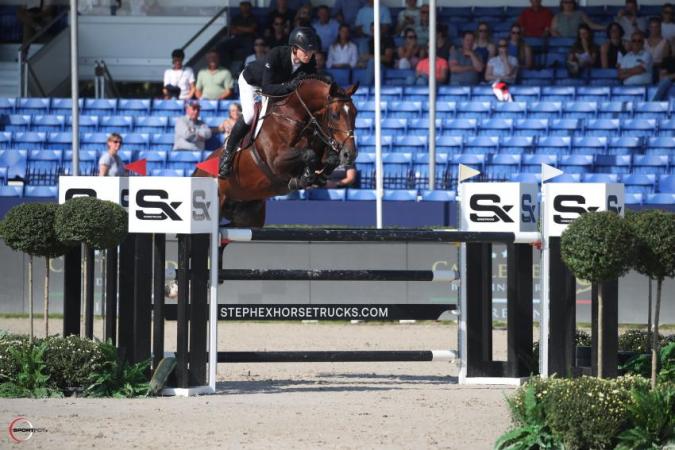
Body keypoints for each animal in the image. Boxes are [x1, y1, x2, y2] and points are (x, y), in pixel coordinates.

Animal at [194, 76, 359, 227]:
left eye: (355, 113)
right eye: (335, 115)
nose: (350, 154)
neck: (294, 117)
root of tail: (196, 172)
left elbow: (330, 160)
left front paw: (319, 177)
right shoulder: (276, 162)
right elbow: (308, 154)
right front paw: (306, 177)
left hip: (249, 217)